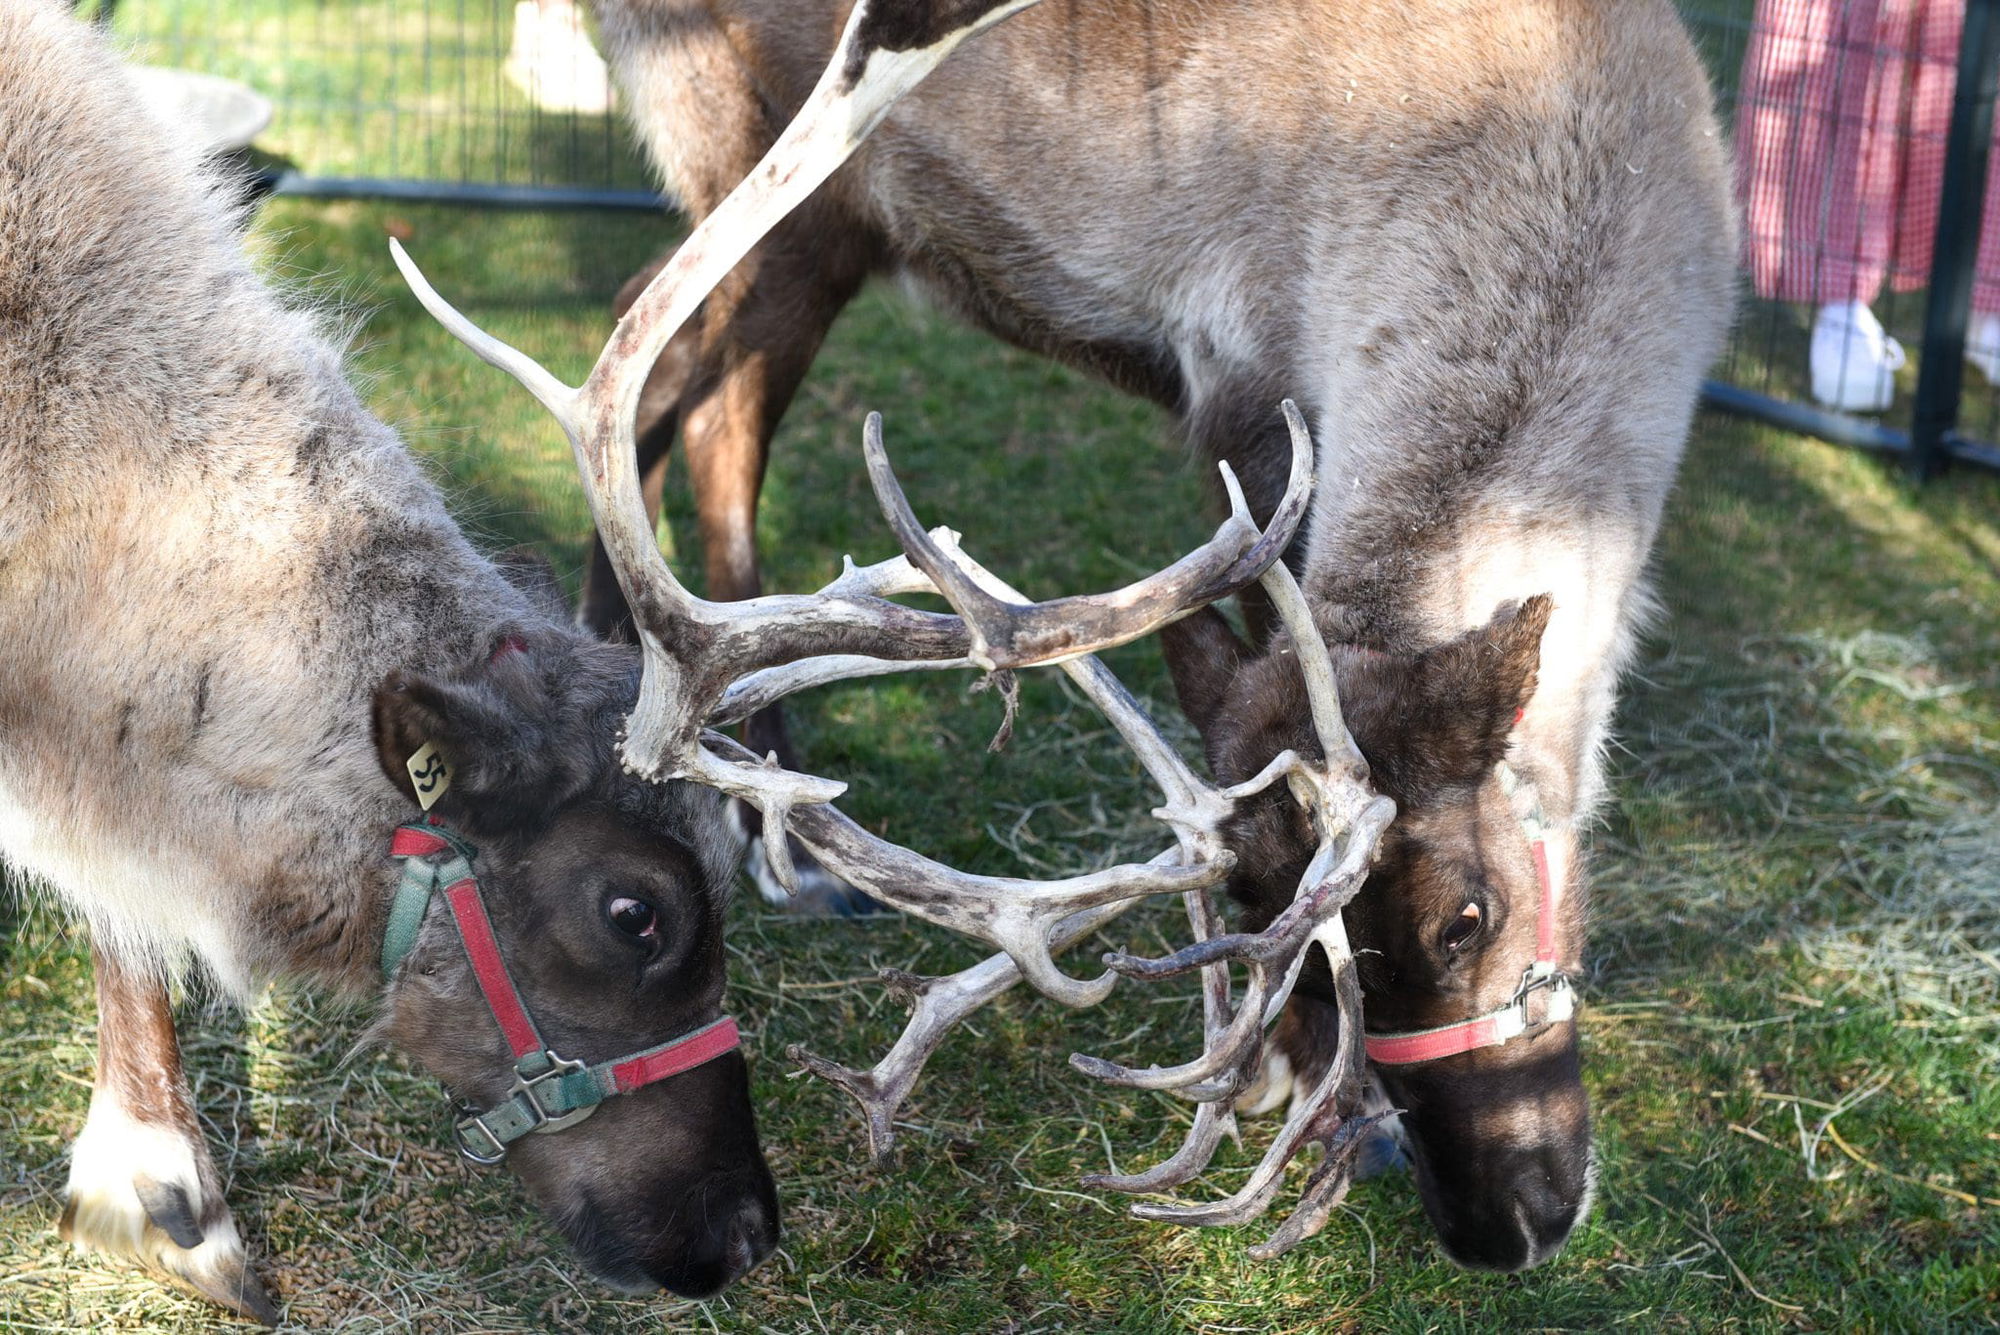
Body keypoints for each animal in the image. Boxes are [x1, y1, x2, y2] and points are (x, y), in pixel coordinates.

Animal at [569, 0, 1739, 1273]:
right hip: (764, 175)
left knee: (689, 402)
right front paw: (1304, 1088)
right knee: (663, 384)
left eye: (1466, 917)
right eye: (1264, 921)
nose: (1499, 1228)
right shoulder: (1250, 396)